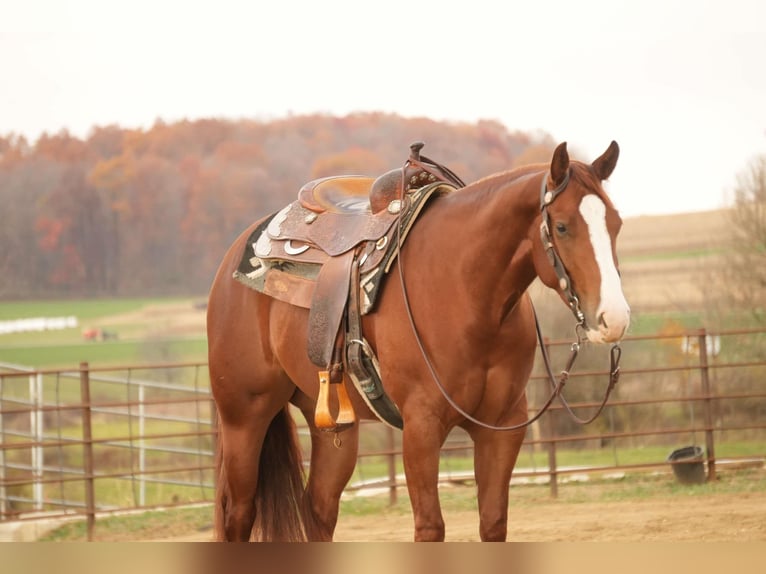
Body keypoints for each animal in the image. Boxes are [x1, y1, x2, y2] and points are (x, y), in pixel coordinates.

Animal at [207, 141, 632, 544]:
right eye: (561, 227)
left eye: (616, 224)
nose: (614, 318)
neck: (466, 292)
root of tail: (237, 254)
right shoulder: (421, 428)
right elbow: (430, 527)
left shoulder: (503, 427)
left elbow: (493, 523)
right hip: (244, 416)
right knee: (238, 514)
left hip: (330, 422)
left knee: (319, 511)